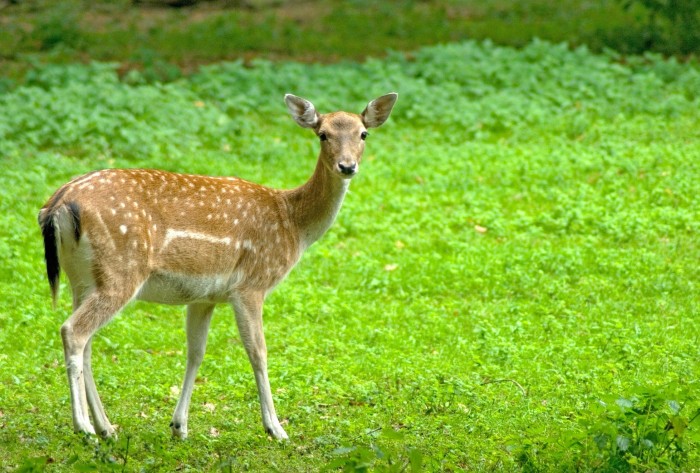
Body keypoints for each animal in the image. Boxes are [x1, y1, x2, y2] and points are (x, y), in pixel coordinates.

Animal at [38, 92, 400, 438]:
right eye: (323, 134)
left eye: (363, 133)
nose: (347, 166)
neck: (292, 224)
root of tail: (57, 205)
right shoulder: (251, 285)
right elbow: (258, 351)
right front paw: (276, 428)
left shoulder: (204, 296)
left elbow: (196, 352)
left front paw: (179, 426)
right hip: (120, 270)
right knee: (73, 331)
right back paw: (84, 427)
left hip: (82, 277)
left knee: (86, 341)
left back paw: (106, 428)